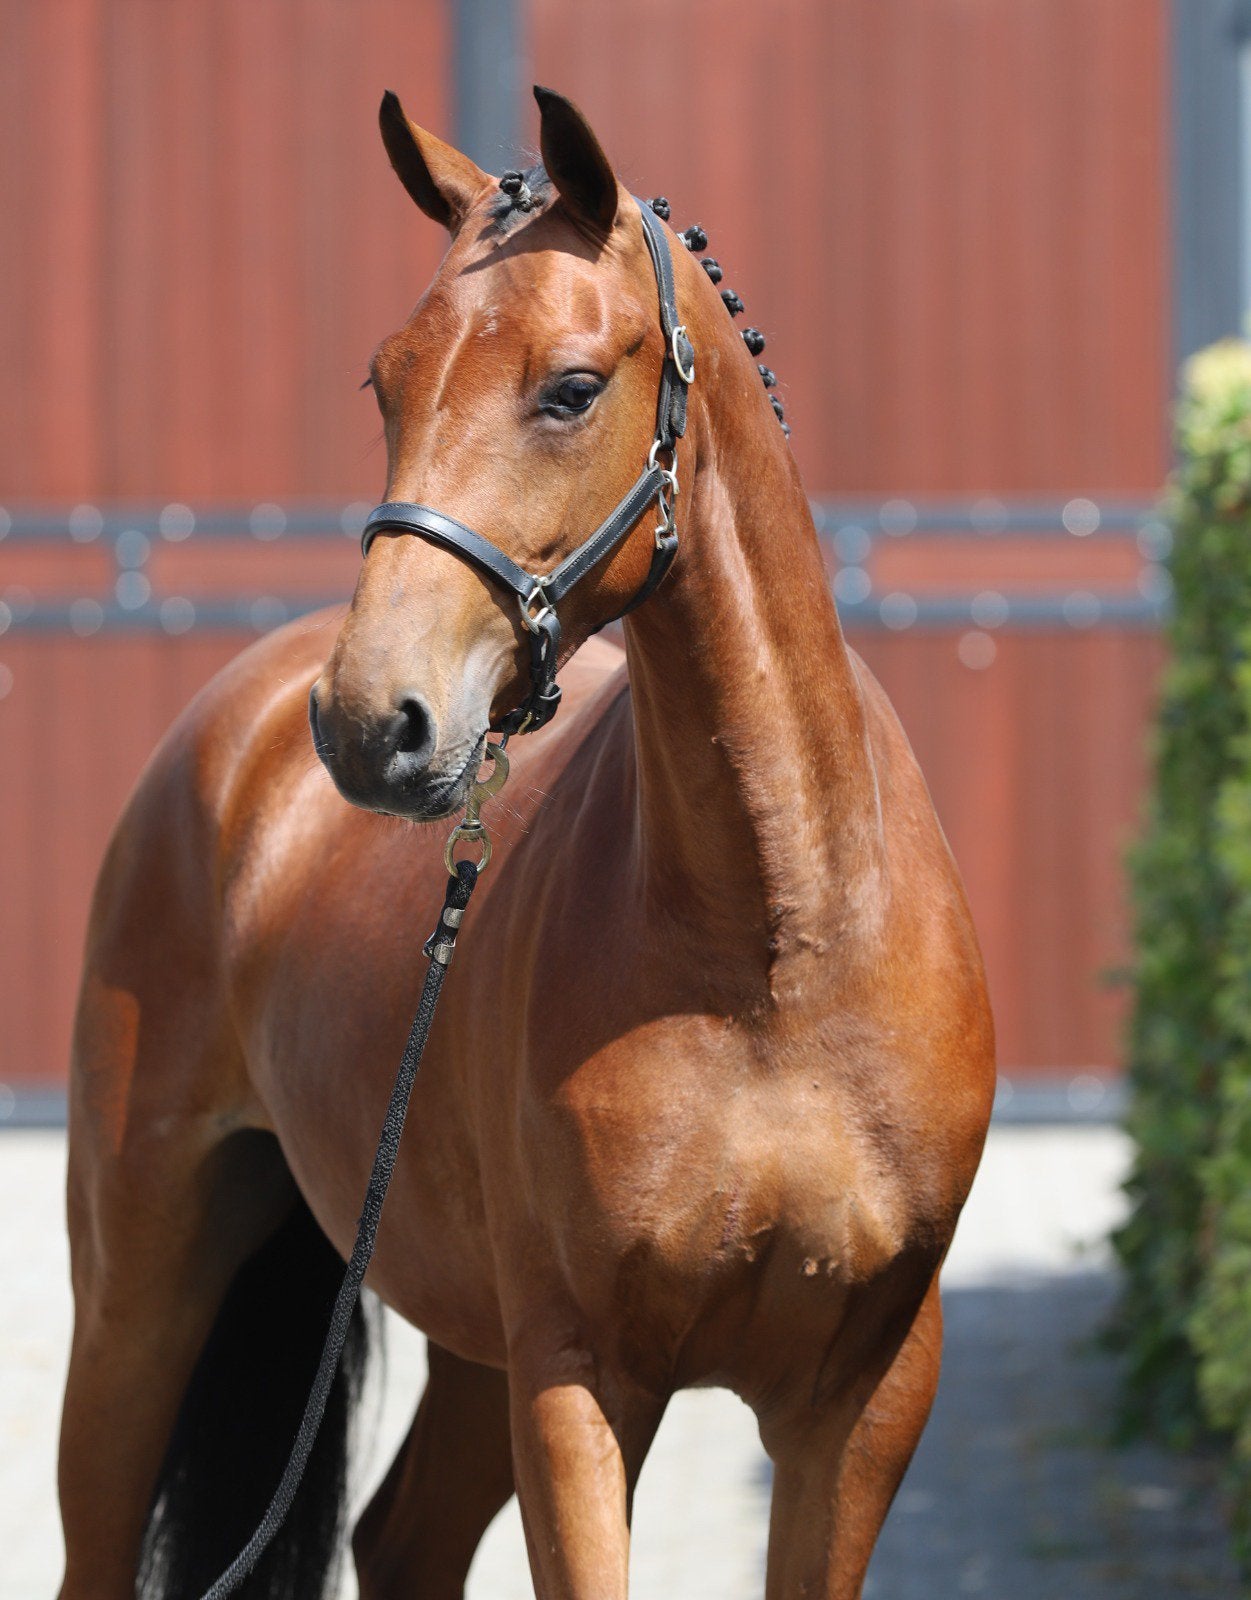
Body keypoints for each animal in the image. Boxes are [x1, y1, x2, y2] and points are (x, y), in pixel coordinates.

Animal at [56, 86, 995, 1600]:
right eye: (384, 382)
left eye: (569, 388)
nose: (369, 722)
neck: (775, 950)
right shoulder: (577, 1374)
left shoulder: (864, 1396)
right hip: (142, 1281)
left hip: (451, 1330)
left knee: (402, 1536)